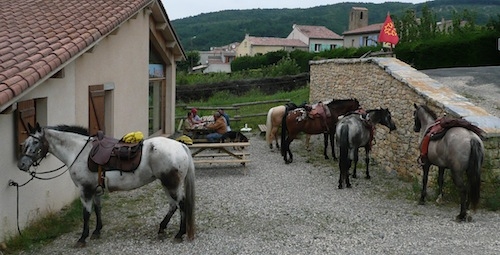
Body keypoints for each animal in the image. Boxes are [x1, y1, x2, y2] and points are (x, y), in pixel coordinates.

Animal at [17, 122, 195, 246]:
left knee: (181, 204)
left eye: (35, 143)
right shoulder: (95, 190)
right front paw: (97, 231)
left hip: (171, 184)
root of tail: (180, 145)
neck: (78, 151)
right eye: (25, 142)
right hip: (167, 184)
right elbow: (97, 209)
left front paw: (82, 238)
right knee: (173, 205)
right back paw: (162, 228)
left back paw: (179, 234)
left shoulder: (85, 190)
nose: (22, 165)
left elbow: (86, 213)